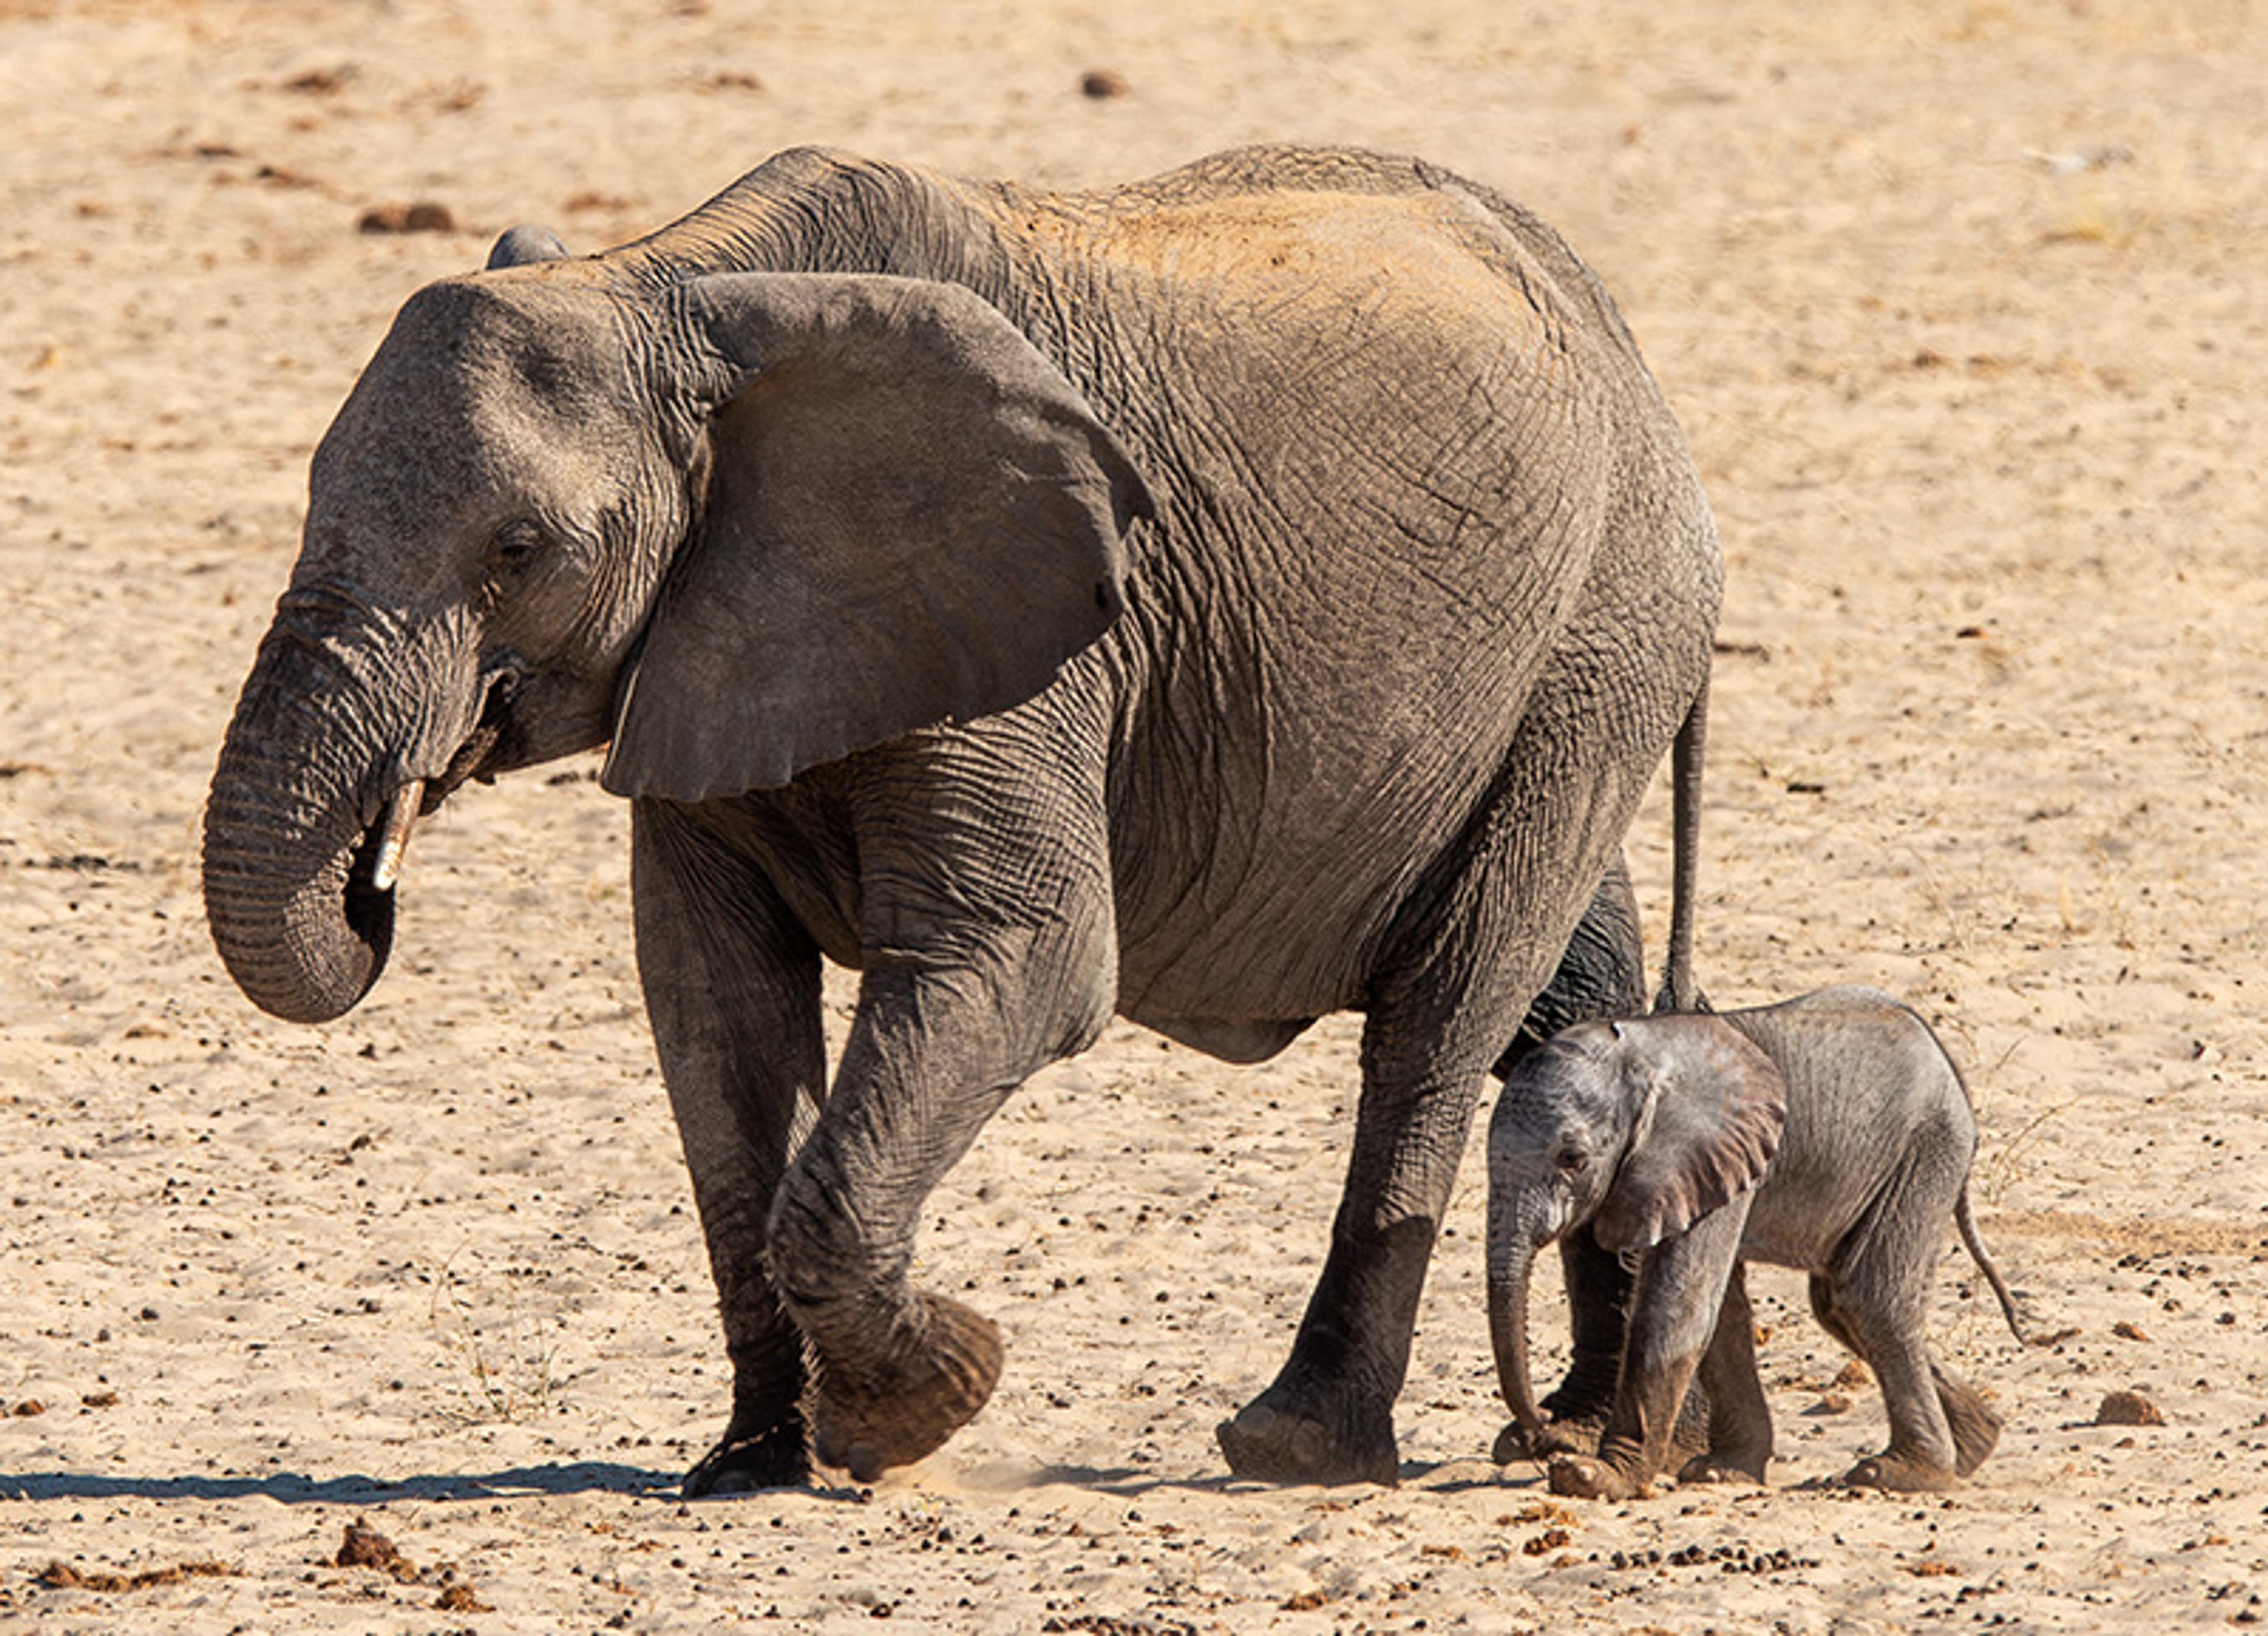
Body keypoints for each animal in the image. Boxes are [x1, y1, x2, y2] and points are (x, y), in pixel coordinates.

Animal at [201, 143, 1723, 1491]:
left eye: (517, 551)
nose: (376, 872)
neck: (673, 282)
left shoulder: (1040, 624)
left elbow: (1028, 960)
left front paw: (932, 1396)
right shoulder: (703, 638)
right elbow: (712, 1005)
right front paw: (753, 1466)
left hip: (1598, 632)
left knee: (1443, 1012)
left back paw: (1306, 1445)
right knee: (1566, 1007)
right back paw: (1608, 1434)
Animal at [1485, 986, 2030, 1500]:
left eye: (1572, 1159)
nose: (1541, 1429)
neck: (1644, 1049)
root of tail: (1947, 1062)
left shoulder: (1699, 1152)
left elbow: (1676, 1310)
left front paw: (1593, 1477)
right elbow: (1721, 1314)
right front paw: (1721, 1472)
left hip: (1923, 1153)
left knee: (1869, 1300)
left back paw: (1901, 1473)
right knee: (1838, 1305)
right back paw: (1976, 1444)